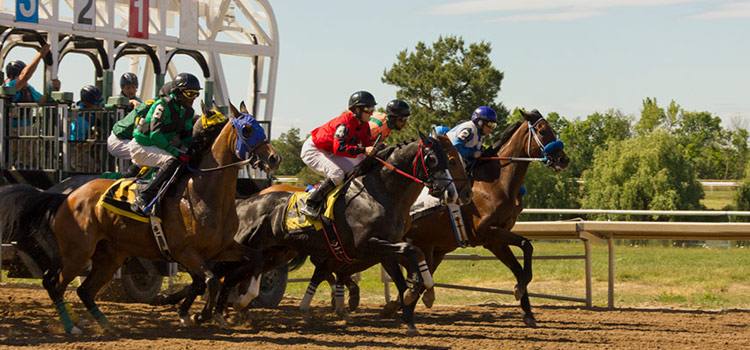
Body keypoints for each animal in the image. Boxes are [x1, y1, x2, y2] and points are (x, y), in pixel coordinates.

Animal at [0, 100, 280, 334]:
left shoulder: (222, 248)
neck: (203, 193)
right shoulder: (184, 251)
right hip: (77, 252)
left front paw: (237, 302)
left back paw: (107, 325)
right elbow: (209, 280)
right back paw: (72, 328)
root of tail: (66, 197)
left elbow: (252, 260)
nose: (274, 158)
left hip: (110, 255)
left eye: (260, 127)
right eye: (246, 129)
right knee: (54, 283)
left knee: (84, 290)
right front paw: (200, 315)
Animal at [201, 133, 470, 334]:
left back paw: (227, 312)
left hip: (272, 253)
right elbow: (412, 251)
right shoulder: (368, 244)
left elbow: (405, 275)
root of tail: (245, 203)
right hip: (246, 247)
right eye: (435, 159)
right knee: (225, 274)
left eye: (450, 159)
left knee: (233, 275)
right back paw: (221, 310)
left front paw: (412, 314)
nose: (452, 193)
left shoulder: (387, 248)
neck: (380, 194)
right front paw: (421, 291)